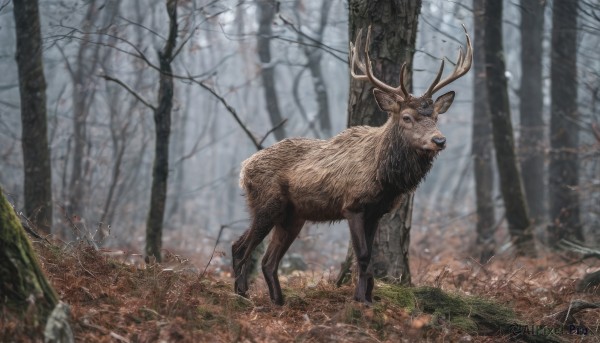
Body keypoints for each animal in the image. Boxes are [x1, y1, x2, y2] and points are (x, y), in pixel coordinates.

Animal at [232, 26, 472, 306]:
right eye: (407, 117)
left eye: (435, 117)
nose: (439, 140)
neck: (384, 178)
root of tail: (244, 169)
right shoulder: (353, 205)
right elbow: (364, 255)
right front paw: (360, 299)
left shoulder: (377, 212)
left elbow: (370, 257)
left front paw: (369, 297)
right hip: (266, 203)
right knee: (241, 247)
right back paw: (241, 293)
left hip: (293, 216)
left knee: (268, 261)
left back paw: (278, 300)